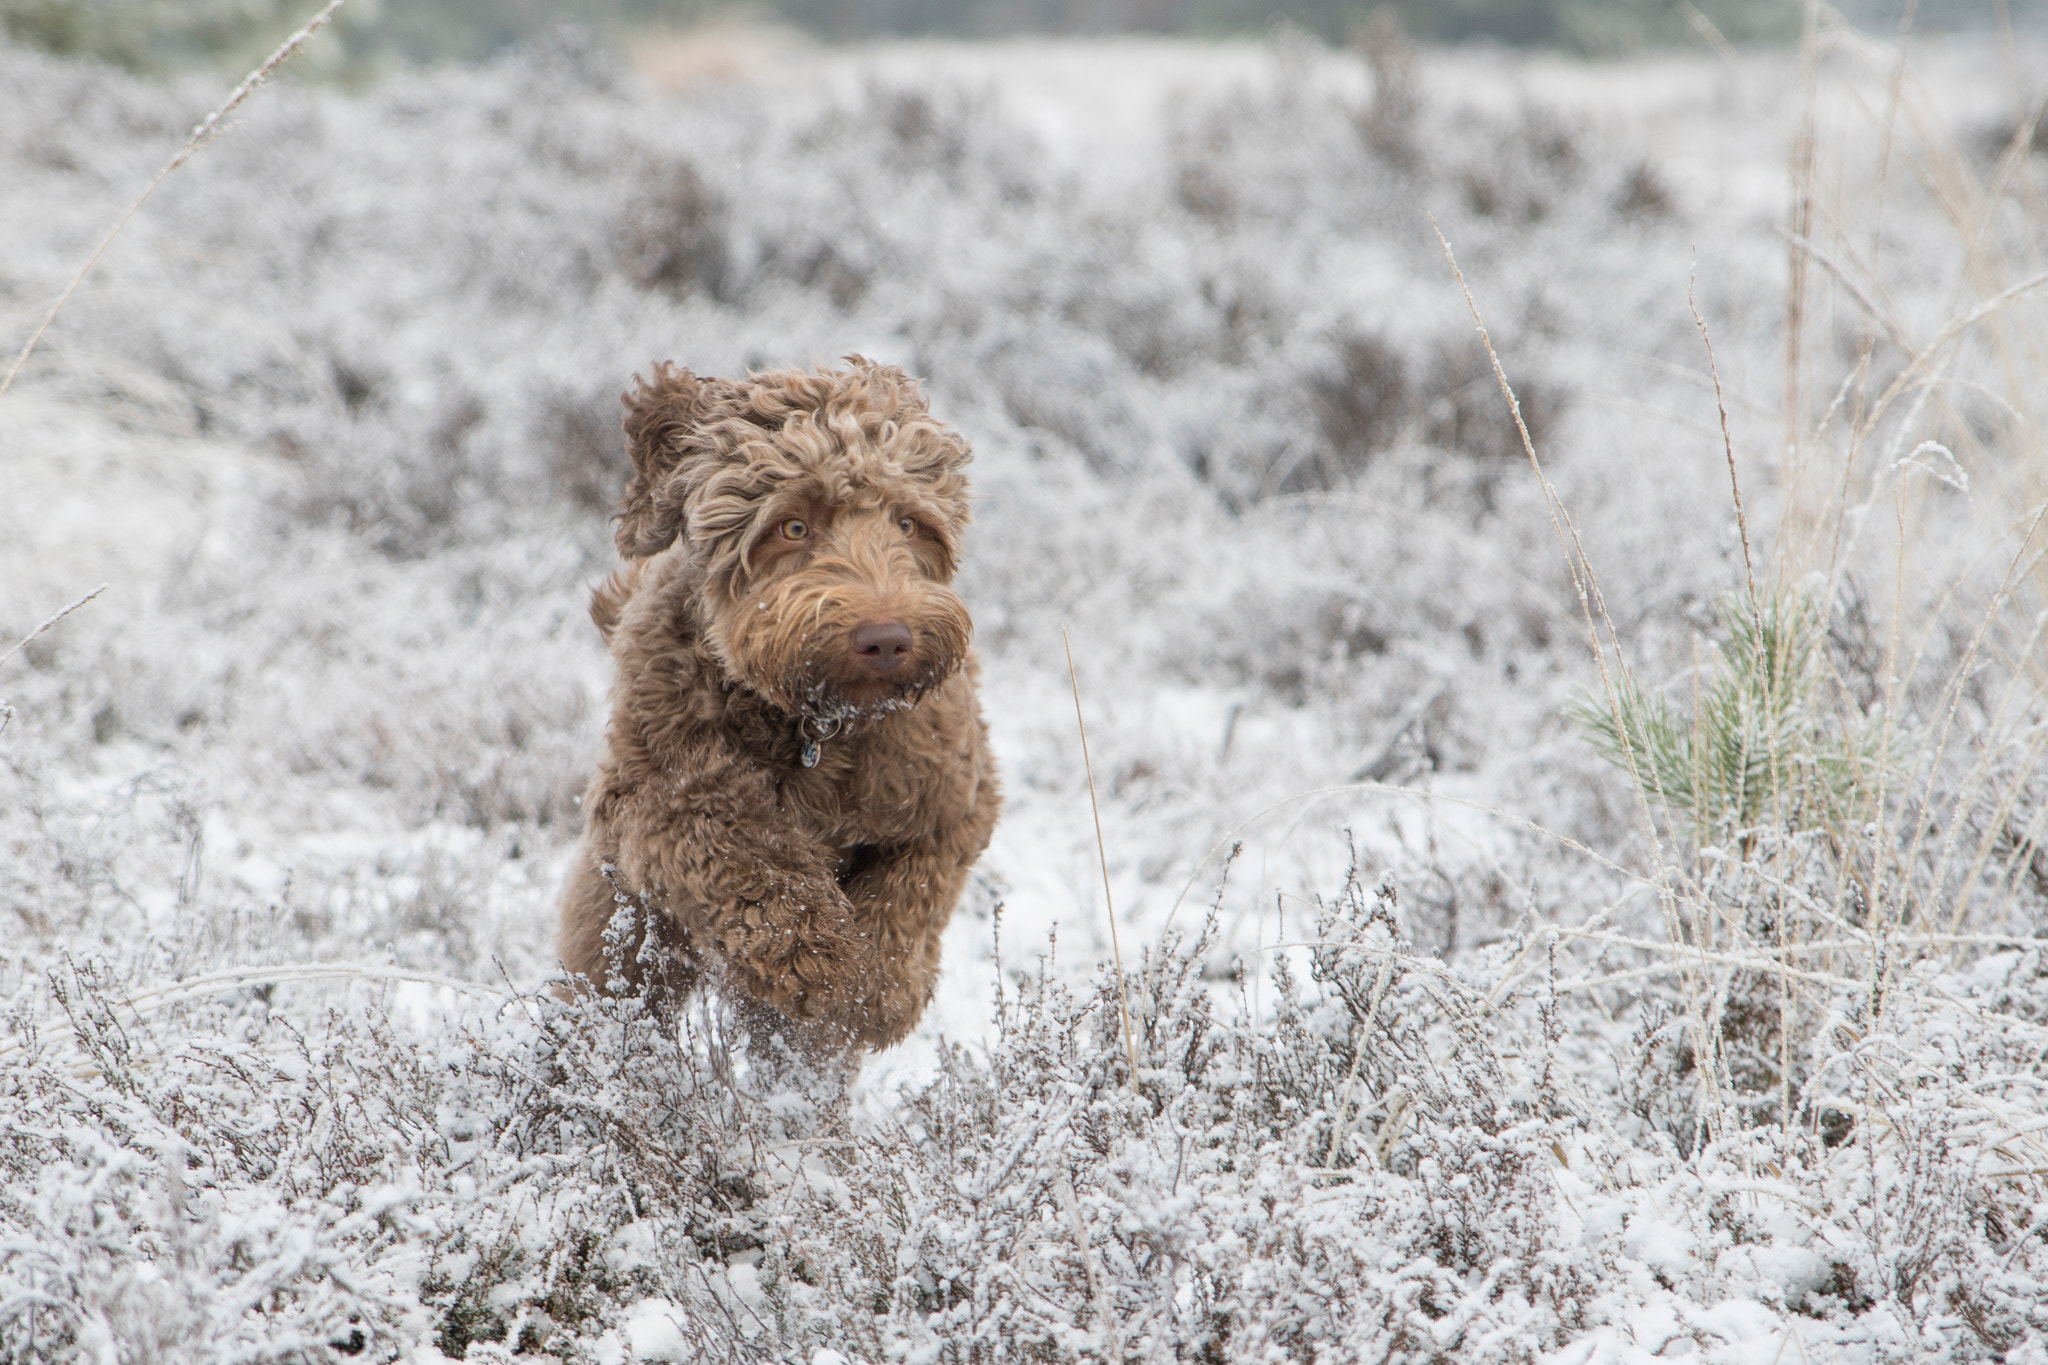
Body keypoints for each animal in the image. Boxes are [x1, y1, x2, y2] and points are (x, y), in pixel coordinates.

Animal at [557, 358, 1003, 1055]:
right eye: (793, 527)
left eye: (908, 524)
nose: (887, 639)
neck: (820, 723)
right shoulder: (654, 799)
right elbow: (747, 860)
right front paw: (828, 965)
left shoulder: (956, 796)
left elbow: (914, 890)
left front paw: (879, 989)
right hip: (619, 938)